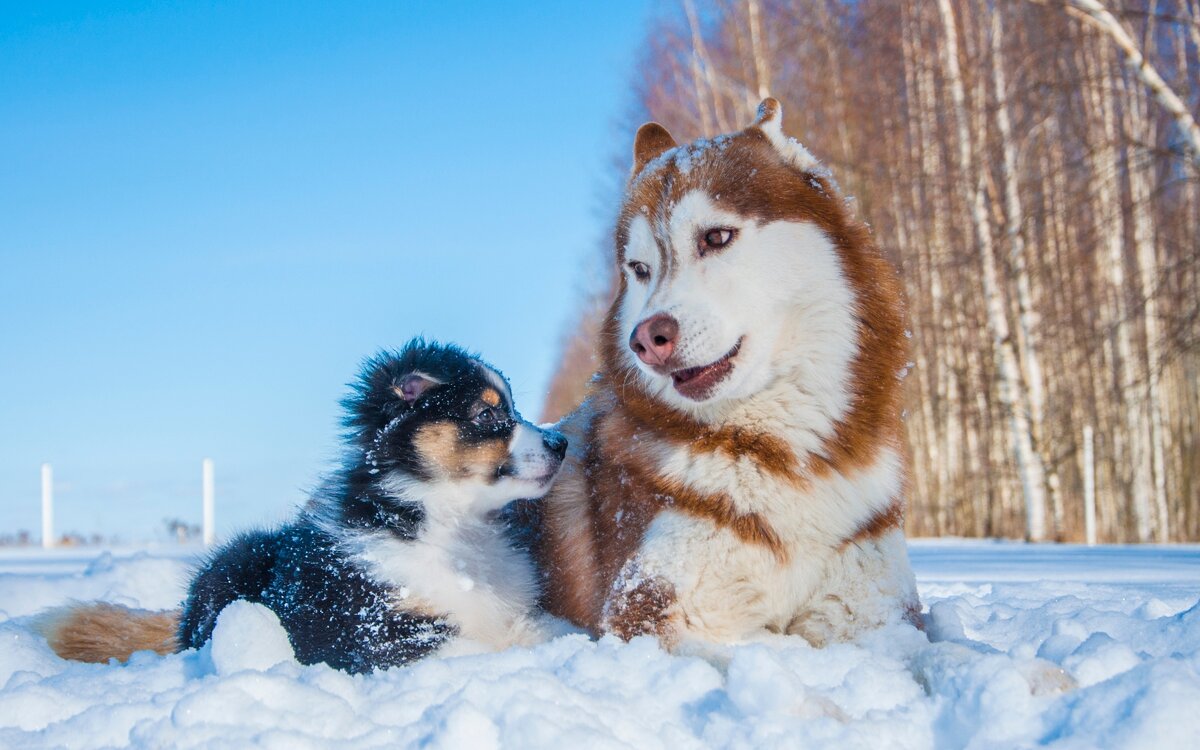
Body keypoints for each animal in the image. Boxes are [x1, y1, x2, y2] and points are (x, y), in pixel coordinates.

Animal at [42, 338, 566, 672]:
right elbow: (481, 647)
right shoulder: (377, 630)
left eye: (514, 407)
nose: (560, 443)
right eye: (487, 414)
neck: (452, 524)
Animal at [535, 99, 916, 648]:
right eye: (640, 269)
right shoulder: (652, 612)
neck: (780, 452)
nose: (646, 340)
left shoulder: (877, 612)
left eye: (716, 237)